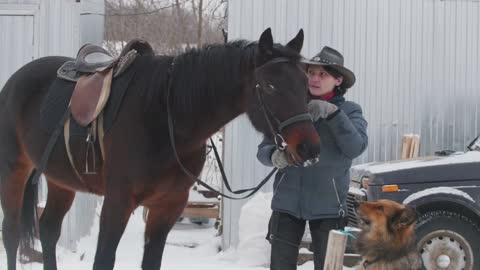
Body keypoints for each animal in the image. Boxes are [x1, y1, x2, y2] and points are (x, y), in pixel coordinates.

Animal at [0, 28, 322, 268]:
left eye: (305, 82)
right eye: (269, 86)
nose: (309, 148)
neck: (165, 119)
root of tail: (15, 81)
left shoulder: (168, 206)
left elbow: (151, 262)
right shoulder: (118, 203)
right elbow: (104, 260)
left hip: (61, 182)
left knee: (48, 230)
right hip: (14, 171)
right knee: (12, 233)